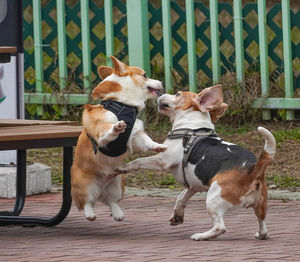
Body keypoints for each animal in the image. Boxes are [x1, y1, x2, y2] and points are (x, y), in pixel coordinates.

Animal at [72, 56, 168, 222]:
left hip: (117, 184)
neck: (123, 104)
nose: (162, 82)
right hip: (85, 186)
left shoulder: (137, 134)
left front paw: (158, 146)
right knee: (87, 202)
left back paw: (117, 213)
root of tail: (101, 189)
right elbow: (107, 132)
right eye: (145, 75)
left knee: (111, 201)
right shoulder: (101, 129)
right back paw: (90, 213)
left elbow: (147, 141)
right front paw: (116, 127)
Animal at [116, 85, 276, 241]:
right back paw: (260, 234)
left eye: (178, 94)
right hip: (261, 205)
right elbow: (181, 198)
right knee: (263, 227)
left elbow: (138, 161)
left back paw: (201, 236)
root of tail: (252, 168)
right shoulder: (194, 185)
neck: (192, 126)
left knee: (220, 227)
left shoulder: (163, 160)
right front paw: (177, 215)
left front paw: (123, 167)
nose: (160, 92)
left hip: (213, 199)